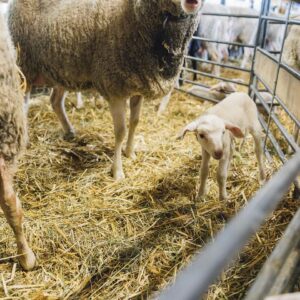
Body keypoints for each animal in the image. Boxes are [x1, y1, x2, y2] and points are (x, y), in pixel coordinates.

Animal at [8, 0, 202, 179]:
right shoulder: (114, 87)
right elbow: (120, 131)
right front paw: (117, 171)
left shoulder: (138, 86)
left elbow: (135, 122)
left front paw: (130, 153)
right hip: (24, 66)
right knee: (22, 105)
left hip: (62, 70)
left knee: (55, 101)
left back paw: (69, 131)